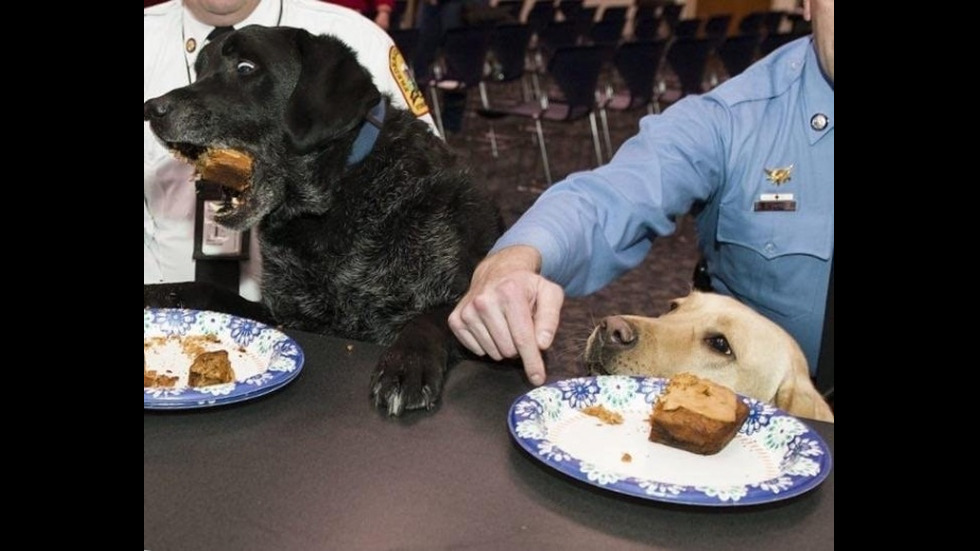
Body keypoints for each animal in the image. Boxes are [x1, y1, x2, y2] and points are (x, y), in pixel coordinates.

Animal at [145, 24, 506, 414]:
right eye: (200, 70)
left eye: (245, 67)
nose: (151, 109)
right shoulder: (284, 314)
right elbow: (203, 289)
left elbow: (434, 319)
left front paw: (407, 364)